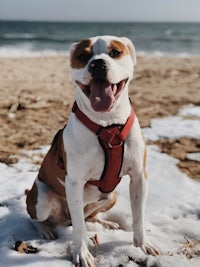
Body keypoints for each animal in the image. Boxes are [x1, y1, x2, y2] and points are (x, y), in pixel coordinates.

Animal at [25, 35, 159, 266]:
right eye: (82, 56)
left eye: (115, 52)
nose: (97, 64)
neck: (108, 123)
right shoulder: (75, 183)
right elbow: (79, 227)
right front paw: (82, 253)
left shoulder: (139, 177)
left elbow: (139, 215)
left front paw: (143, 244)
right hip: (42, 199)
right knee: (37, 217)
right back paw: (44, 230)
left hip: (111, 196)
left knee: (88, 216)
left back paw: (107, 224)